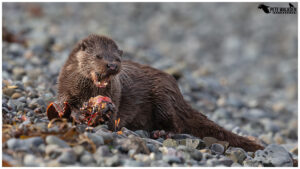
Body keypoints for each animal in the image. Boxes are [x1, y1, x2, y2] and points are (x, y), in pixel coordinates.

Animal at [57, 34, 264, 152]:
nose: (112, 65)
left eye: (117, 58)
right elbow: (63, 103)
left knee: (178, 125)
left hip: (163, 97)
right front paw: (76, 114)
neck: (88, 92)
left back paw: (161, 132)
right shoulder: (64, 88)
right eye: (98, 56)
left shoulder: (115, 96)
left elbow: (112, 120)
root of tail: (178, 91)